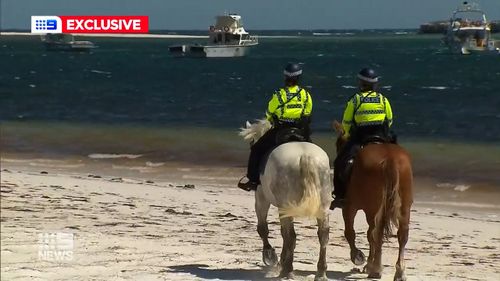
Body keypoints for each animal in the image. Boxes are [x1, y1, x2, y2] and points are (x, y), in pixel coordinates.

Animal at [240, 118, 334, 280]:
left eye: (252, 143)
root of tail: (305, 156)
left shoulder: (261, 197)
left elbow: (263, 228)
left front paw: (270, 256)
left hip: (284, 206)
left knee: (290, 235)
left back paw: (287, 270)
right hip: (323, 206)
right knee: (323, 235)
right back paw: (320, 273)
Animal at [332, 121, 414, 280]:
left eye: (339, 144)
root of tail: (390, 158)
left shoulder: (349, 207)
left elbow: (350, 232)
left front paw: (358, 257)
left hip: (373, 208)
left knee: (377, 232)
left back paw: (376, 269)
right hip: (403, 206)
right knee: (401, 234)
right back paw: (399, 272)